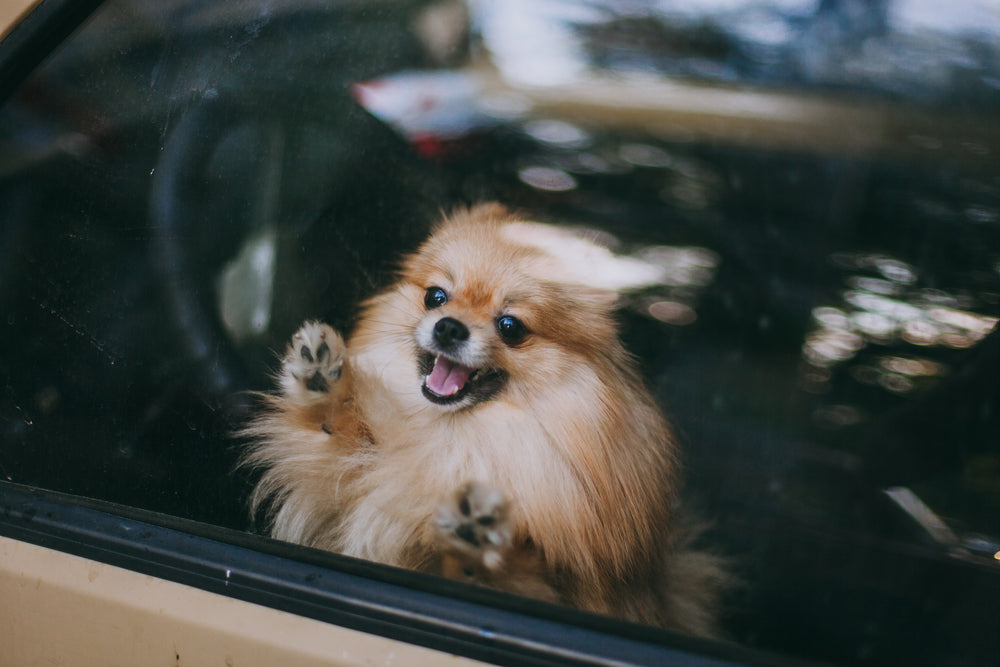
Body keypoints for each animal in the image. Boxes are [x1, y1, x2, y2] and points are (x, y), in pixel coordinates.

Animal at [242, 202, 728, 636]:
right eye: (435, 297)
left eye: (511, 327)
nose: (448, 326)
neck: (458, 435)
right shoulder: (343, 500)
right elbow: (336, 452)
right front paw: (325, 383)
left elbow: (514, 581)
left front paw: (479, 543)